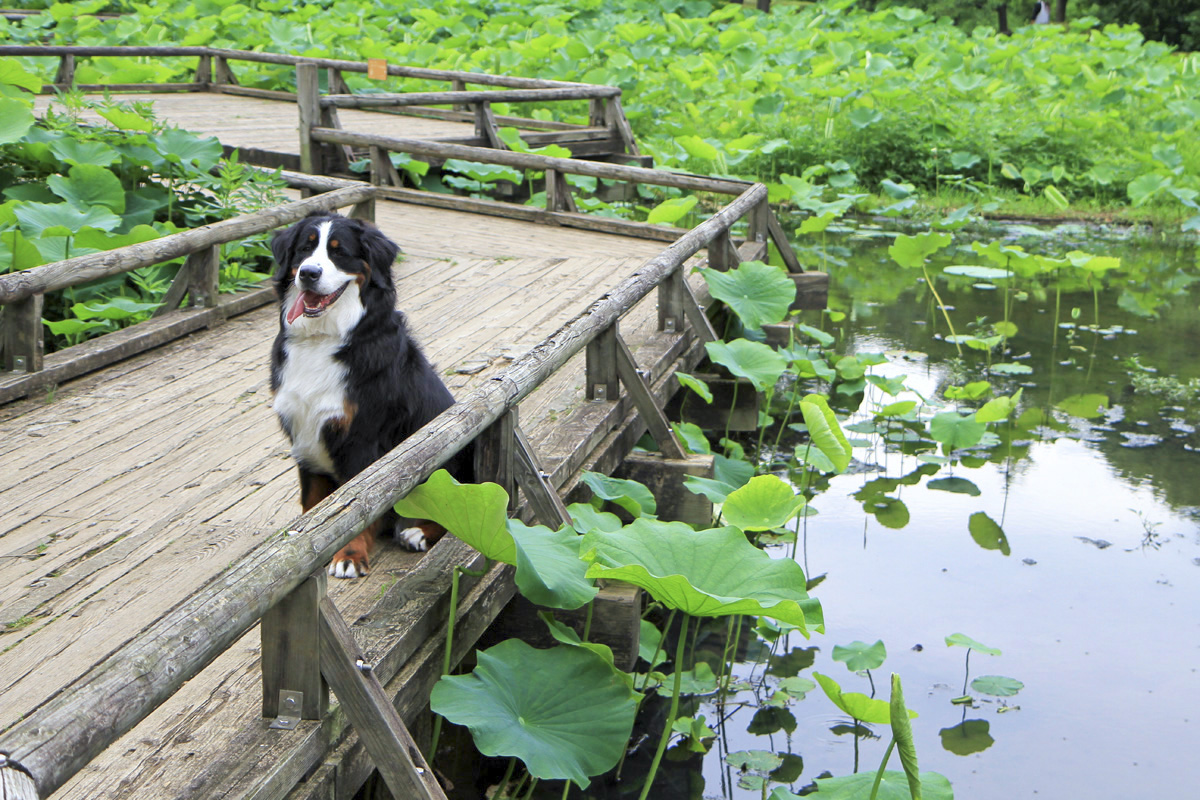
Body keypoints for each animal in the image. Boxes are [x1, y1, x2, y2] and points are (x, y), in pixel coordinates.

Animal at [270, 211, 470, 575]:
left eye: (339, 252)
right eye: (305, 248)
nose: (308, 273)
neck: (322, 340)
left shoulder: (361, 438)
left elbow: (356, 506)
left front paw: (349, 555)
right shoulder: (304, 434)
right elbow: (314, 505)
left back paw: (418, 532)